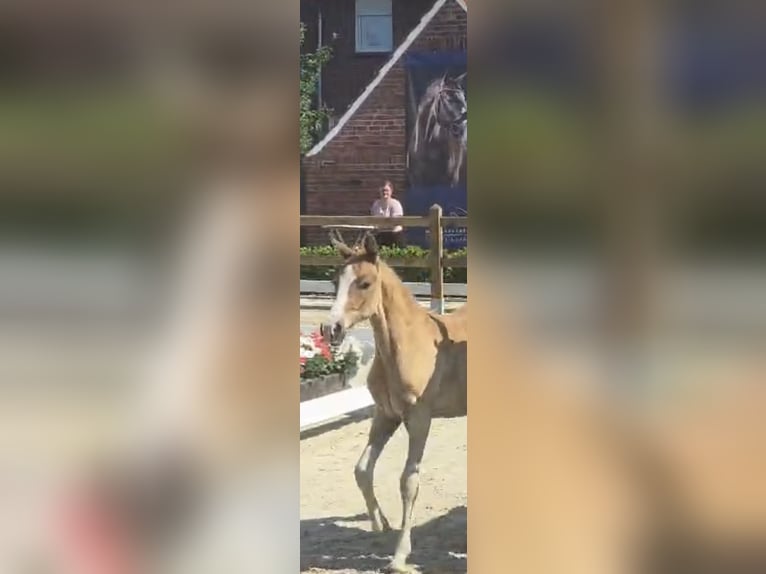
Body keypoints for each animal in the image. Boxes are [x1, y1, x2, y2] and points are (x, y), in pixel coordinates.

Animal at [320, 231, 467, 573]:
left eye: (364, 283)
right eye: (334, 281)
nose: (331, 329)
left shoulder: (420, 418)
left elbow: (409, 482)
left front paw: (399, 555)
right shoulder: (386, 414)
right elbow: (362, 469)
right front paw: (381, 524)